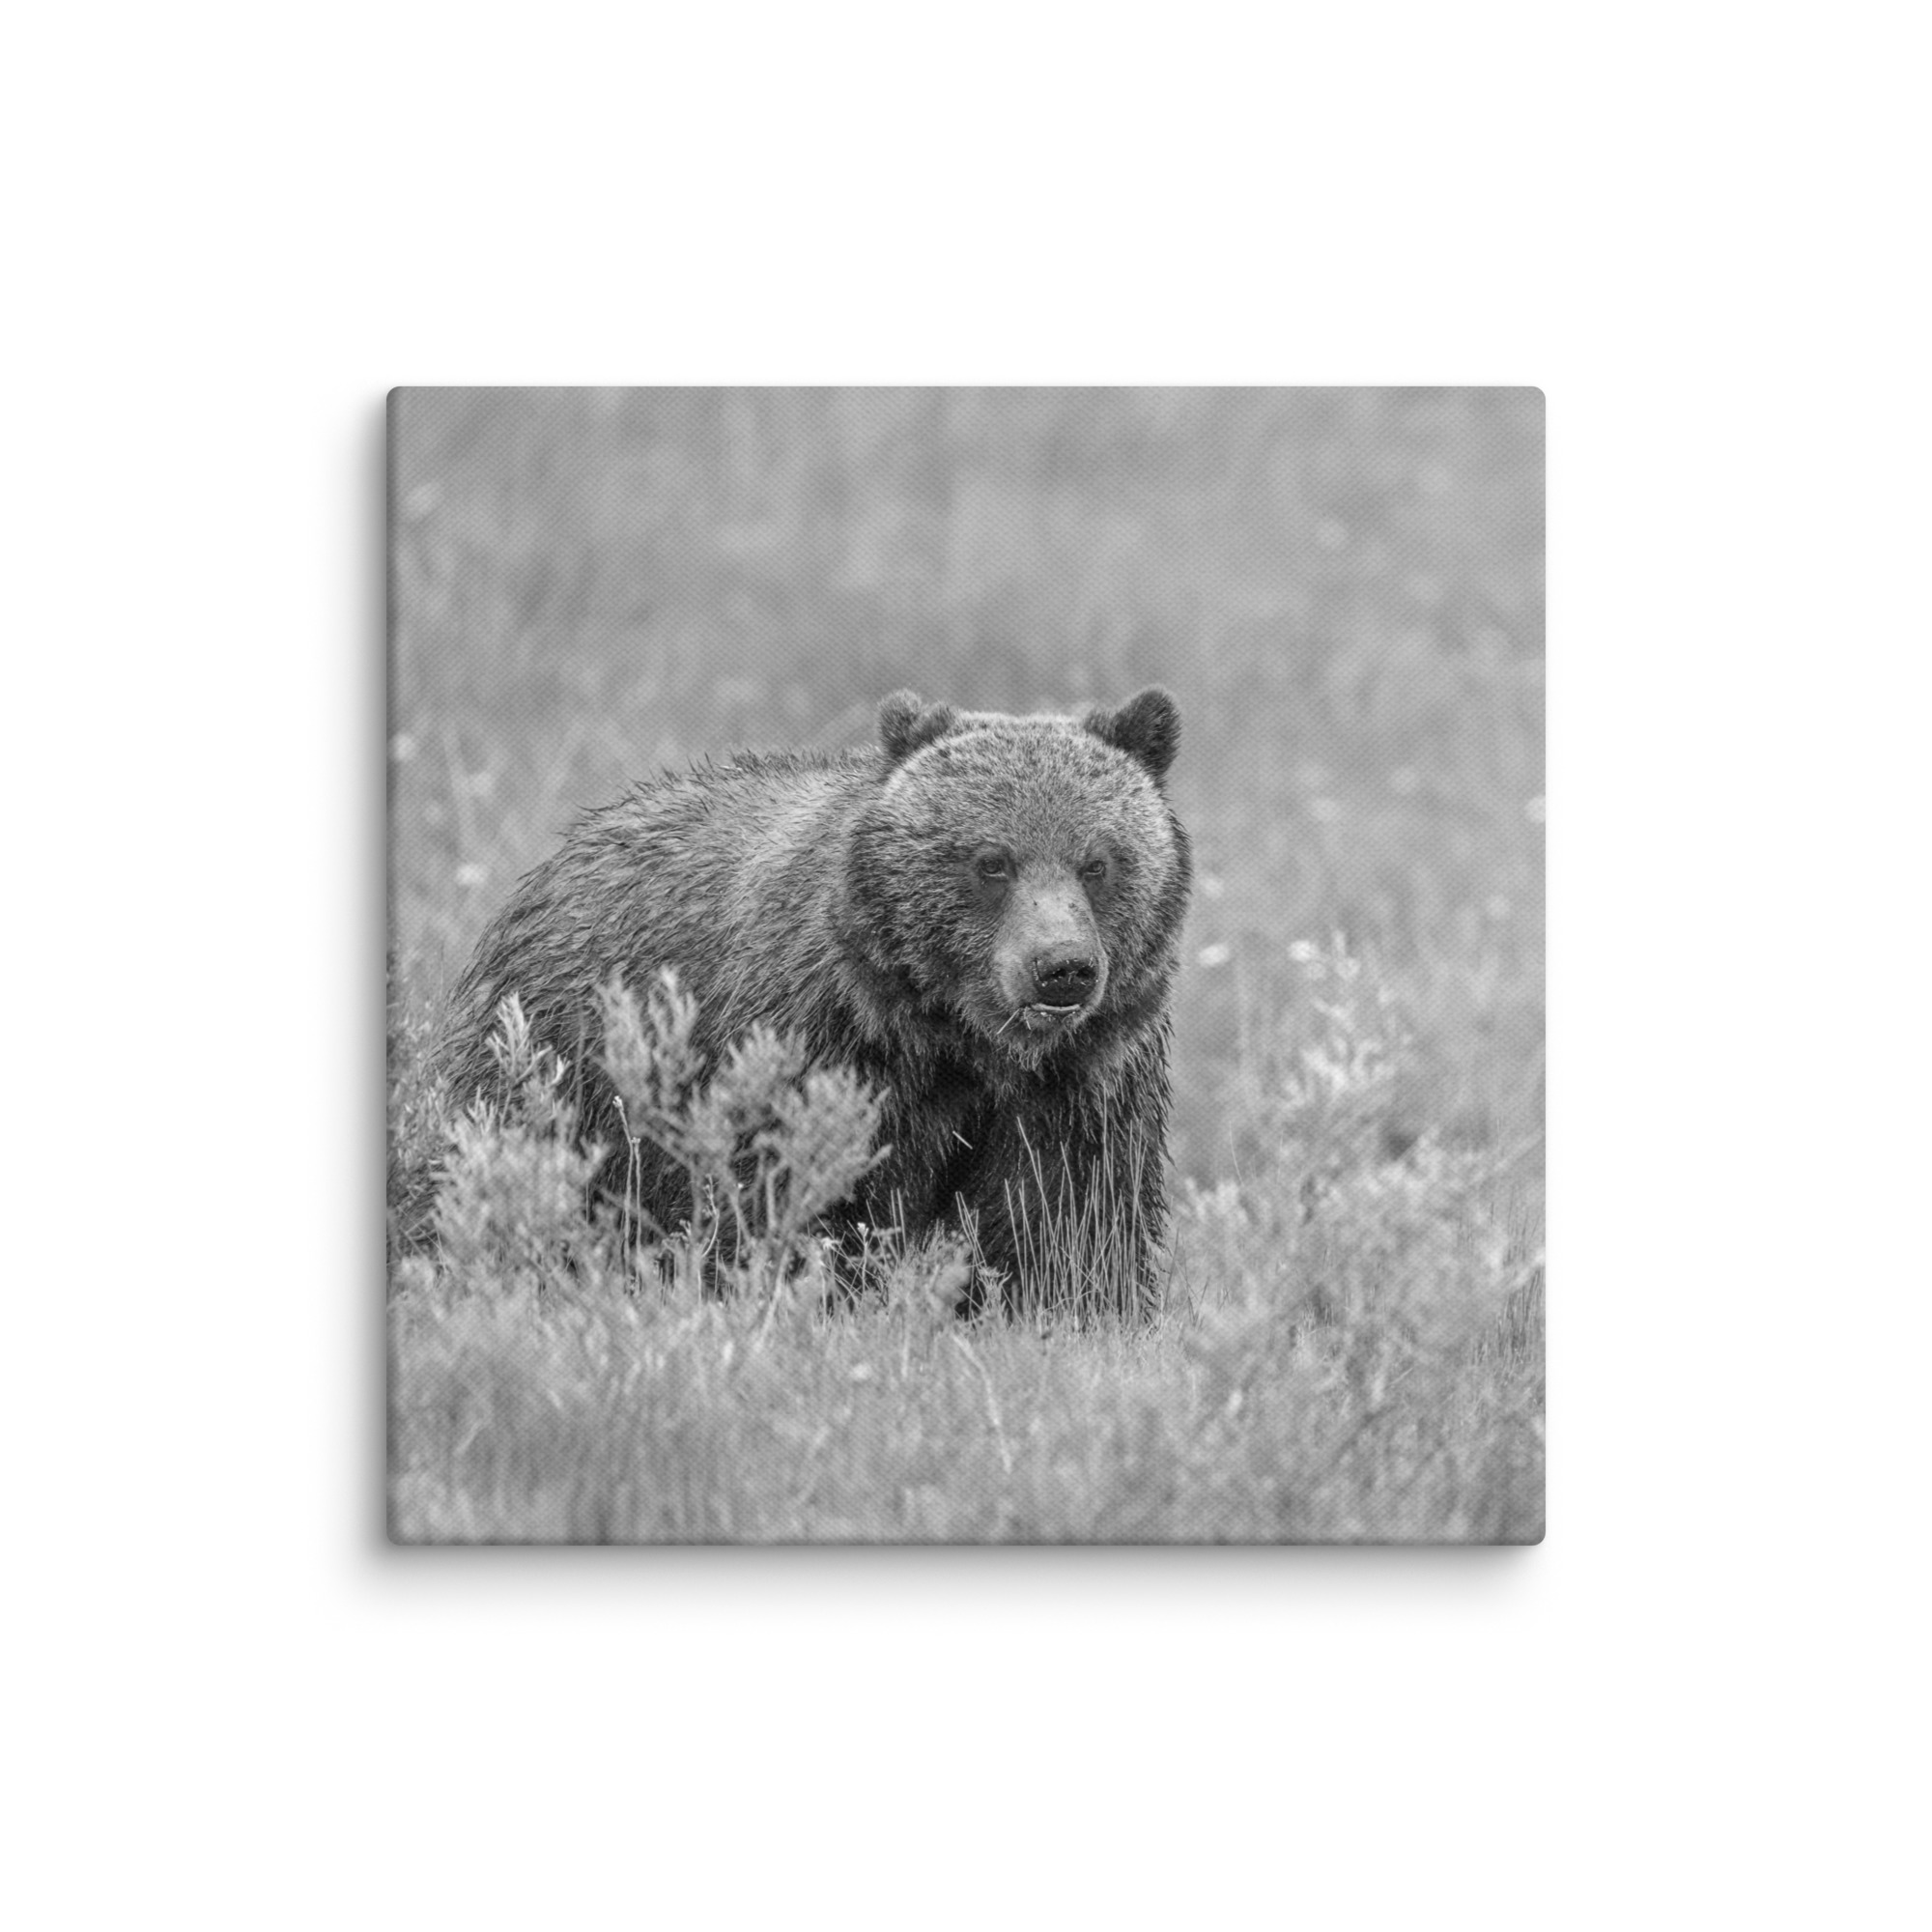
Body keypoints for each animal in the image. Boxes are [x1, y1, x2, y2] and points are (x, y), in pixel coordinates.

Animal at [432, 687, 1192, 1314]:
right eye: (991, 861)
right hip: (562, 1063)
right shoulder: (821, 1045)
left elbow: (1069, 1221)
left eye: (1098, 862)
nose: (1061, 968)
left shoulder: (1082, 1082)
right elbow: (797, 1196)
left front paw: (1073, 1312)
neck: (958, 1040)